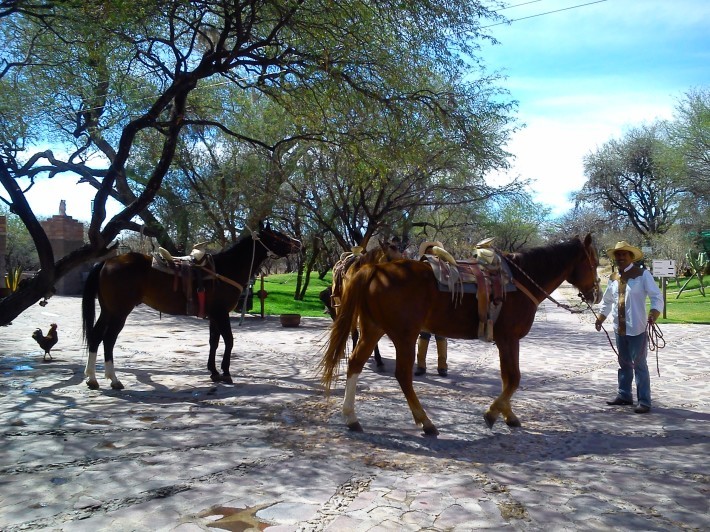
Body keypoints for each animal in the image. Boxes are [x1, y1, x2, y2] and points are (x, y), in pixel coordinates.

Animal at [82, 222, 300, 388]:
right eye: (278, 236)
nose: (298, 243)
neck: (224, 270)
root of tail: (107, 262)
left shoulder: (214, 315)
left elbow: (214, 342)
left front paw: (214, 372)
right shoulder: (221, 313)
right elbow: (229, 341)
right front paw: (226, 372)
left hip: (108, 310)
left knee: (96, 336)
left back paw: (92, 378)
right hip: (120, 312)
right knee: (108, 339)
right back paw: (114, 379)